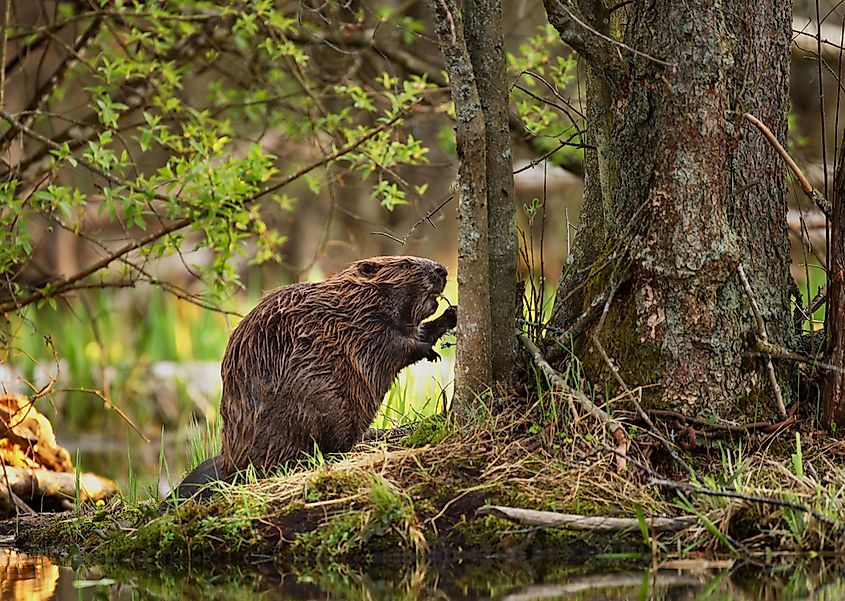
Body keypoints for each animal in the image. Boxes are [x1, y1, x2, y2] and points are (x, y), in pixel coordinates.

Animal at [172, 255, 458, 500]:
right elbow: (393, 346)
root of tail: (228, 464)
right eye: (406, 264)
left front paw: (451, 313)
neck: (355, 301)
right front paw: (429, 351)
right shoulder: (362, 327)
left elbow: (418, 331)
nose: (442, 270)